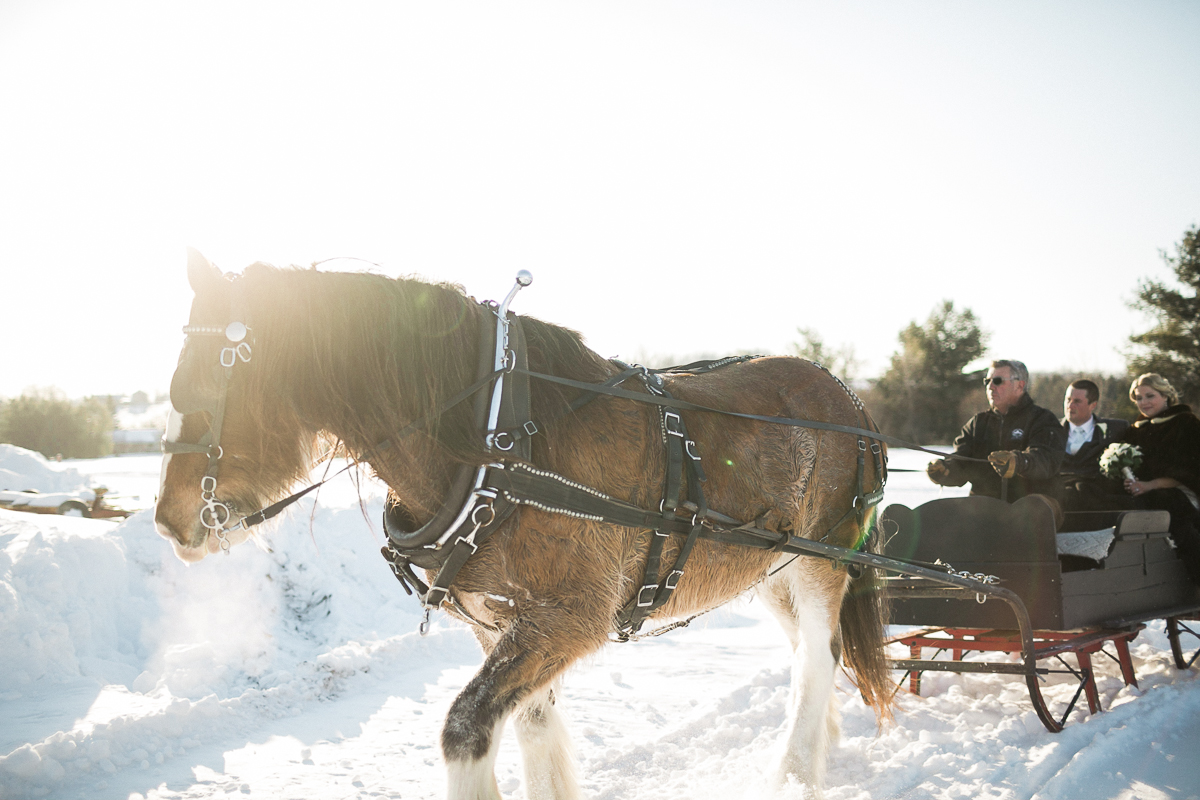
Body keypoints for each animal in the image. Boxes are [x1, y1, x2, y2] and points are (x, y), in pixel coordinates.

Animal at [157, 250, 892, 800]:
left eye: (213, 382)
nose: (168, 522)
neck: (498, 446)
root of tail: (848, 395)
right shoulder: (500, 622)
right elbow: (535, 729)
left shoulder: (568, 618)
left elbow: (464, 728)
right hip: (770, 567)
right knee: (803, 653)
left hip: (823, 559)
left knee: (821, 652)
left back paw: (796, 773)